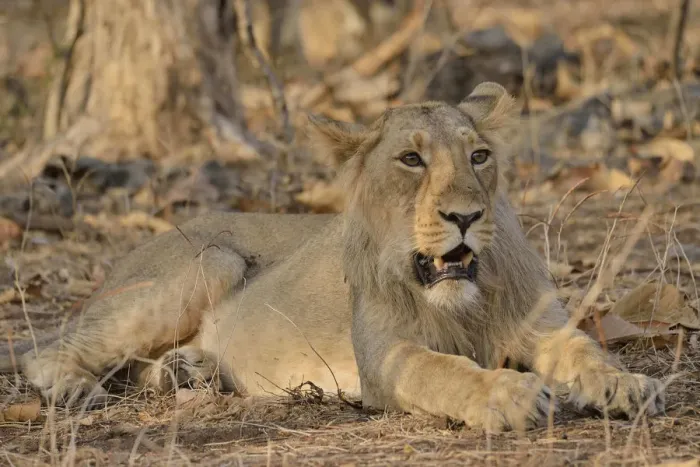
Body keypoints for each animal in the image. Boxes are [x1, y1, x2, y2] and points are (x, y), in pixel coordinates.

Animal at [0, 82, 664, 432]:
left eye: (478, 156)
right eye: (411, 160)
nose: (465, 216)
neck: (463, 300)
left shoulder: (543, 326)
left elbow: (586, 351)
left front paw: (627, 384)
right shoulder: (383, 358)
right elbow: (441, 370)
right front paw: (511, 395)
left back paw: (184, 373)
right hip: (211, 260)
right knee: (45, 351)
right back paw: (78, 390)